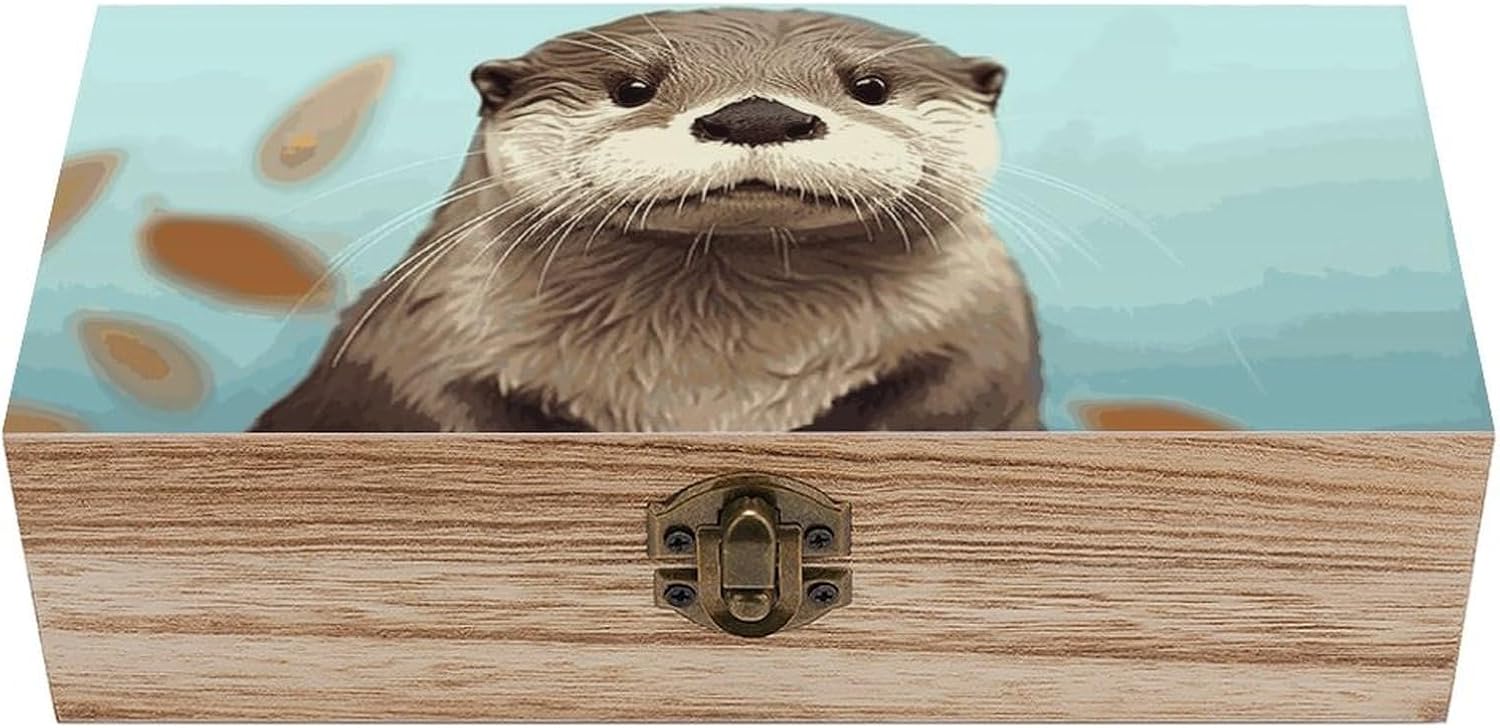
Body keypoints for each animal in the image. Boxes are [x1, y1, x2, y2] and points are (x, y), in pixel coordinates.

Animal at [253, 8, 1043, 432]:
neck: (714, 376)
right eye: (632, 87)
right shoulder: (413, 348)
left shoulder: (980, 337)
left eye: (870, 86)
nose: (756, 115)